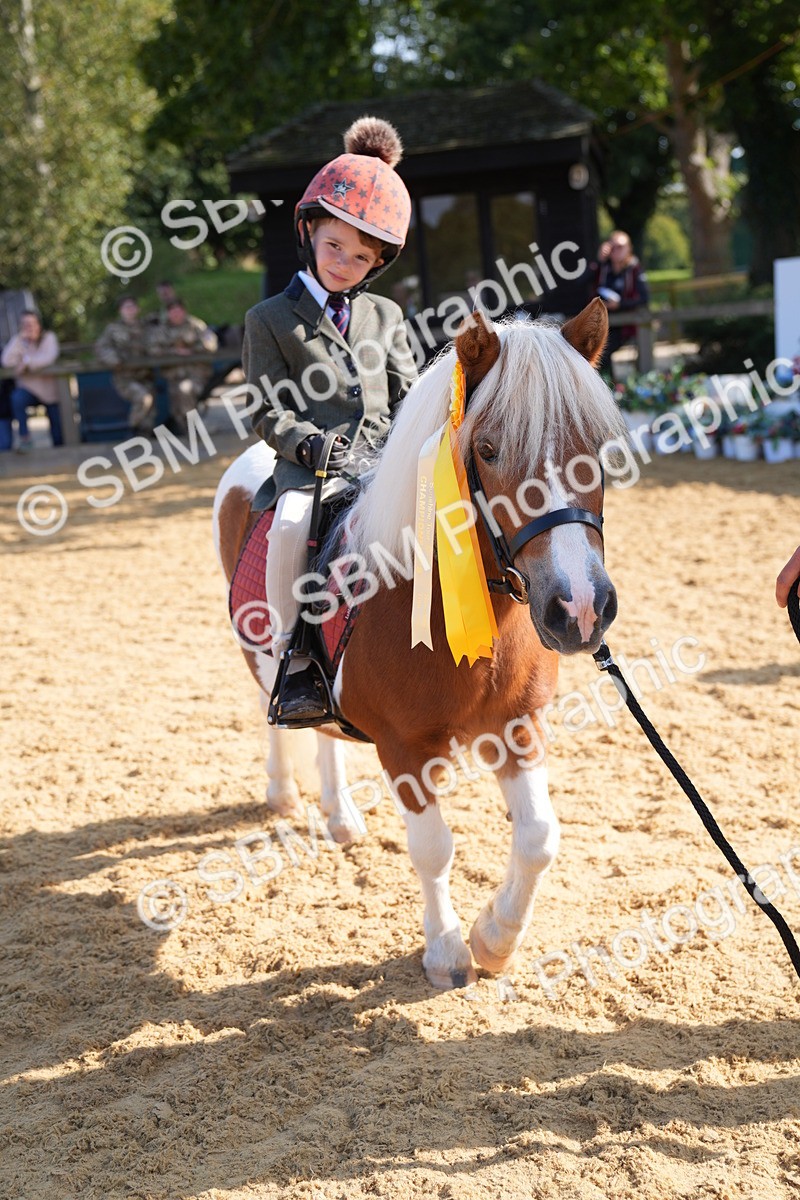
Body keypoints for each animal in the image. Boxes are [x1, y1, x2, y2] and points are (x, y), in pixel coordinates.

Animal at [213, 298, 625, 989]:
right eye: (487, 449)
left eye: (597, 449)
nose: (581, 608)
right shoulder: (405, 747)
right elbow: (433, 847)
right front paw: (447, 953)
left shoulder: (516, 726)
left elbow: (539, 837)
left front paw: (496, 940)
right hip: (261, 646)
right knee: (275, 707)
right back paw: (282, 792)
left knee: (327, 737)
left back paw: (340, 816)